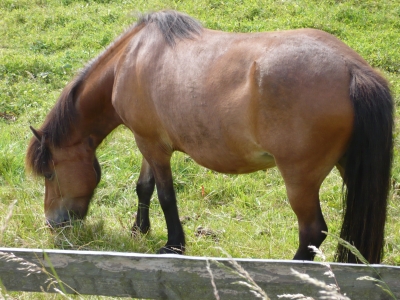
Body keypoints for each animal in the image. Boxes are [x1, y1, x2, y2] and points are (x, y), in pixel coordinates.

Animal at [25, 9, 394, 262]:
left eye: (50, 173)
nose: (53, 224)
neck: (129, 60)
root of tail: (352, 69)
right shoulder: (148, 142)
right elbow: (144, 187)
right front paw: (138, 229)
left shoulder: (153, 146)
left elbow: (166, 196)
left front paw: (173, 245)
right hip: (348, 167)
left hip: (299, 180)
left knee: (312, 232)